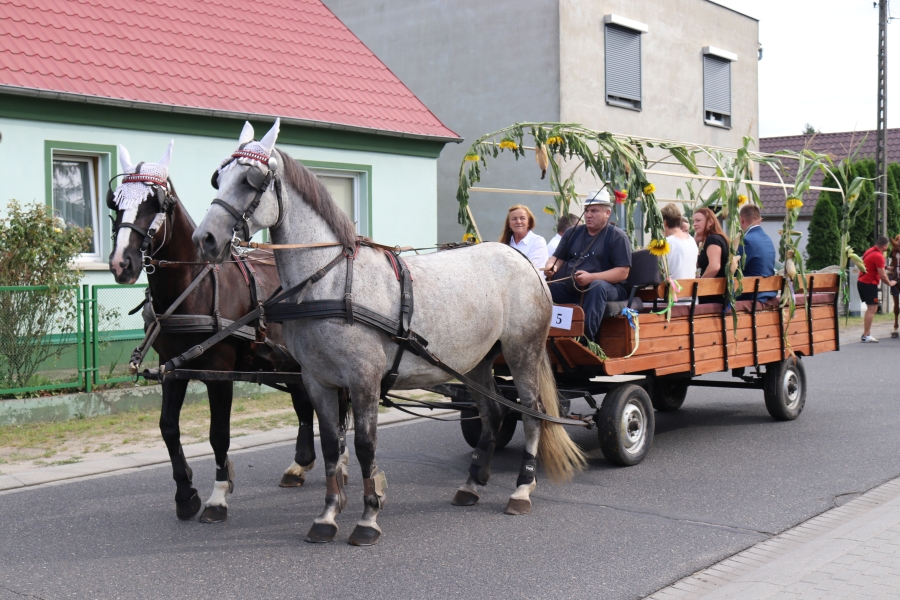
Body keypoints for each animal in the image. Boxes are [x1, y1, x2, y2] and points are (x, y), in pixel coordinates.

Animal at [108, 143, 348, 524]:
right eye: (114, 203)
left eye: (155, 204)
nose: (121, 263)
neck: (192, 286)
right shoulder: (173, 368)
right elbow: (168, 427)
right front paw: (185, 494)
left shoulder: (218, 372)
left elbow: (218, 434)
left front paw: (218, 496)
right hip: (291, 362)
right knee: (302, 403)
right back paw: (300, 464)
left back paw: (339, 462)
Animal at [192, 119, 584, 548]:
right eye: (218, 178)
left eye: (250, 180)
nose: (205, 239)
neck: (329, 280)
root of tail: (522, 260)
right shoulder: (318, 380)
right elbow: (331, 446)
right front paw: (327, 516)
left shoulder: (364, 380)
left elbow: (365, 447)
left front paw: (368, 517)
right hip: (477, 361)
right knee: (493, 412)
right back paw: (471, 484)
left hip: (522, 351)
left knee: (532, 413)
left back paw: (521, 489)